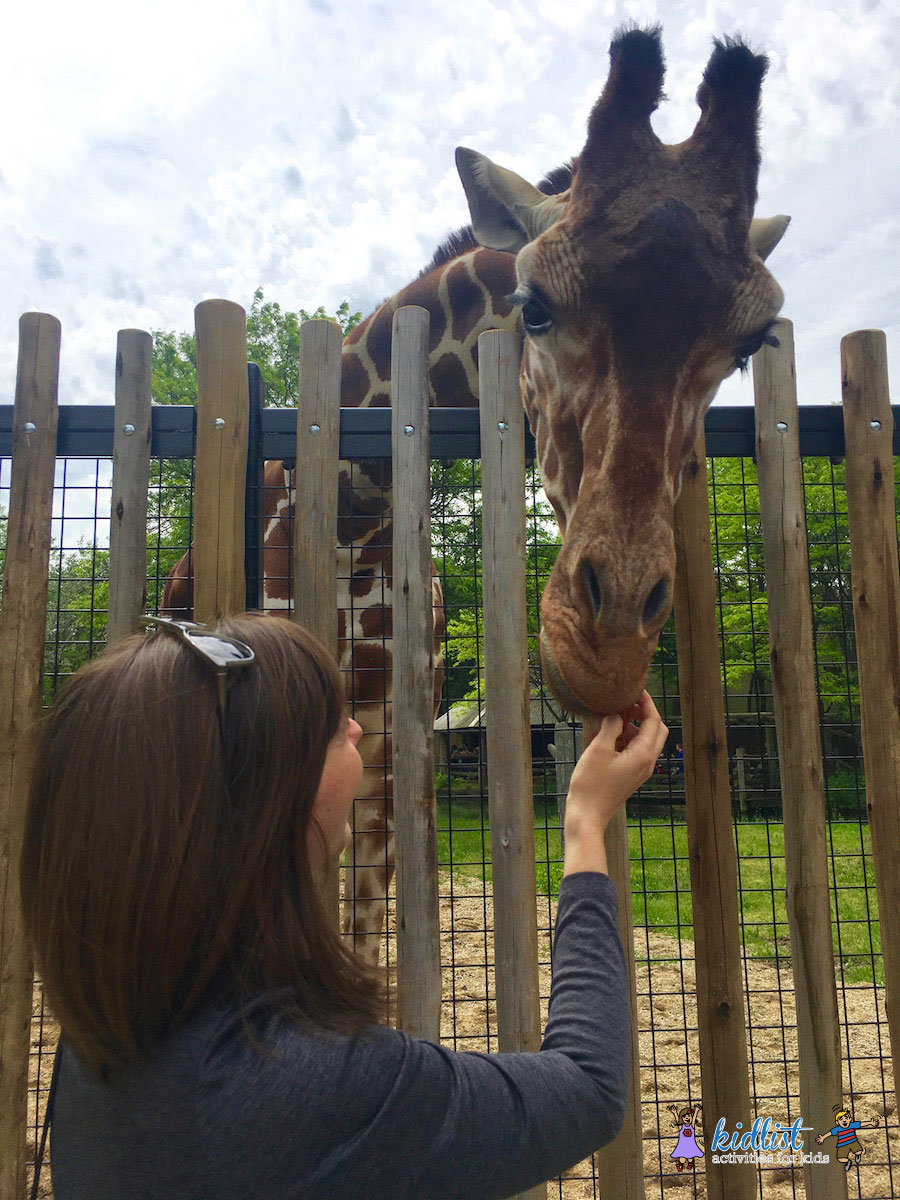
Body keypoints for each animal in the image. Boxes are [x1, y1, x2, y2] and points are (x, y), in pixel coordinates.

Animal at [164, 26, 788, 962]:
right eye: (533, 307)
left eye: (747, 346)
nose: (605, 646)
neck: (353, 516)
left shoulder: (390, 754)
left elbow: (370, 948)